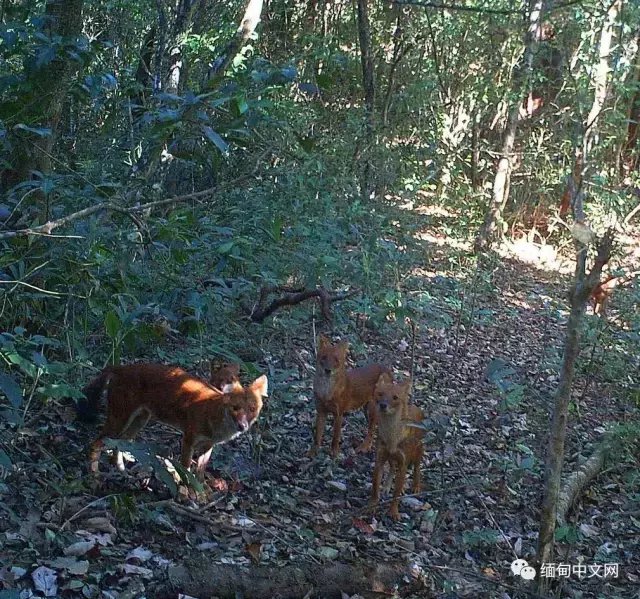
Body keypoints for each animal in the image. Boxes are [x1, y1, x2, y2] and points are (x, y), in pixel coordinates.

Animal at [79, 366, 266, 478]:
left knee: (120, 443)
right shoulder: (188, 439)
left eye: (251, 409)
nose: (242, 426)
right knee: (95, 444)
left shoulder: (208, 446)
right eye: (235, 408)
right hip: (119, 419)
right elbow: (185, 469)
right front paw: (185, 495)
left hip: (140, 420)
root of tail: (120, 367)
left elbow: (200, 473)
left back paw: (121, 469)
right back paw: (95, 475)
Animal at [368, 376, 422, 520]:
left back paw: (416, 486)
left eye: (395, 397)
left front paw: (393, 511)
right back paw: (387, 486)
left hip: (418, 451)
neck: (392, 437)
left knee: (417, 468)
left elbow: (396, 493)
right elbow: (375, 487)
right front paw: (372, 506)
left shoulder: (403, 463)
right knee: (392, 468)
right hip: (391, 458)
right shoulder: (380, 459)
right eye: (380, 394)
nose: (383, 405)